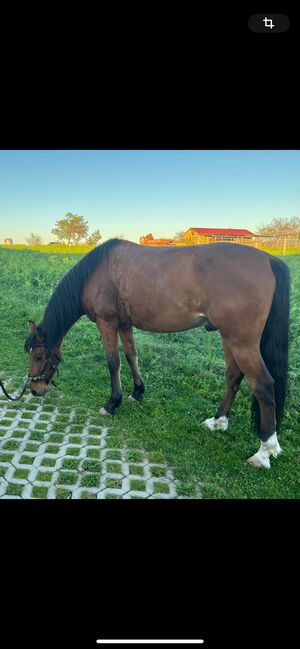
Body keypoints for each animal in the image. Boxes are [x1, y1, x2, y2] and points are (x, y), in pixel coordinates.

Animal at [24, 237, 290, 466]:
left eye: (38, 356)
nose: (35, 389)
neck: (97, 271)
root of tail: (270, 260)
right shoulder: (124, 324)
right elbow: (131, 356)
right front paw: (137, 392)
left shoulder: (106, 322)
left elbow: (113, 361)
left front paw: (112, 403)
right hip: (229, 338)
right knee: (233, 376)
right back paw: (217, 421)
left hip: (241, 342)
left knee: (263, 385)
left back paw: (264, 452)